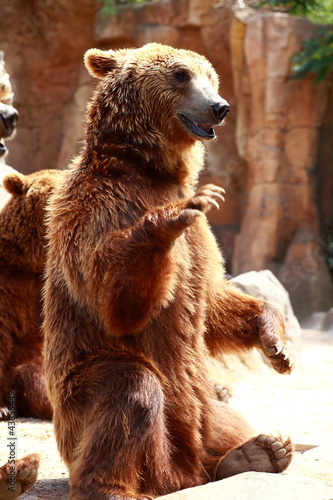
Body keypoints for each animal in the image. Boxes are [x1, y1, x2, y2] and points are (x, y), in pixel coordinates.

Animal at [42, 44, 294, 500]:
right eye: (180, 75)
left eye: (211, 75)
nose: (220, 107)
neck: (148, 169)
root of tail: (181, 474)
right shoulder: (94, 207)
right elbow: (113, 298)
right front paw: (177, 213)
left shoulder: (204, 244)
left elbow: (211, 300)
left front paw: (277, 346)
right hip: (78, 394)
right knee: (130, 391)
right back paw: (112, 486)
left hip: (205, 407)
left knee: (225, 422)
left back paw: (259, 450)